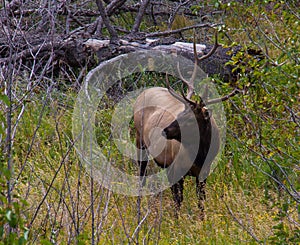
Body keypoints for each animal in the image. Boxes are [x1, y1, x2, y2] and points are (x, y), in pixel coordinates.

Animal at [134, 33, 241, 216]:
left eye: (191, 119)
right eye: (180, 114)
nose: (165, 130)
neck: (199, 156)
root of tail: (142, 93)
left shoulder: (203, 173)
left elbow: (201, 201)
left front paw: (202, 220)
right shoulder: (175, 169)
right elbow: (178, 200)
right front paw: (176, 221)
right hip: (140, 142)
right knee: (141, 179)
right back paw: (139, 211)